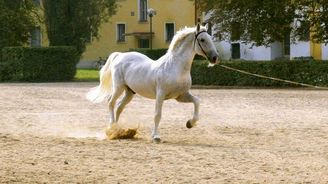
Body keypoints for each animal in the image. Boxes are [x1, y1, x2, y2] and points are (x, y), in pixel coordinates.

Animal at [87, 24, 219, 142]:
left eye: (210, 38)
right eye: (202, 39)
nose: (215, 58)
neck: (175, 67)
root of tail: (120, 55)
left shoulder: (180, 96)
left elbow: (197, 101)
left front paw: (190, 123)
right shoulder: (160, 94)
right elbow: (157, 115)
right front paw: (156, 136)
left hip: (129, 92)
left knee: (119, 107)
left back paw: (116, 130)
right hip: (118, 87)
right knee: (111, 103)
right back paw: (111, 128)